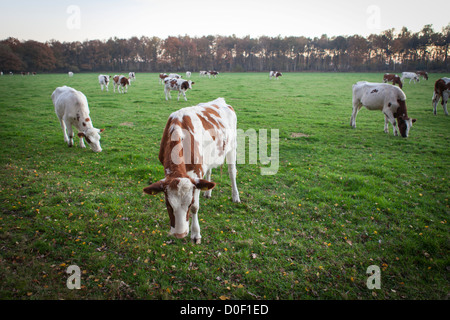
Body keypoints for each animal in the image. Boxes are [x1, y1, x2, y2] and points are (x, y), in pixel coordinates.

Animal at [143, 97, 241, 242]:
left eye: (188, 205)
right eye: (167, 204)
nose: (180, 234)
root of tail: (221, 100)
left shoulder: (196, 174)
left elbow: (196, 207)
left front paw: (195, 234)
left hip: (232, 147)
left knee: (232, 173)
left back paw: (235, 196)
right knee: (209, 172)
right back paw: (208, 193)